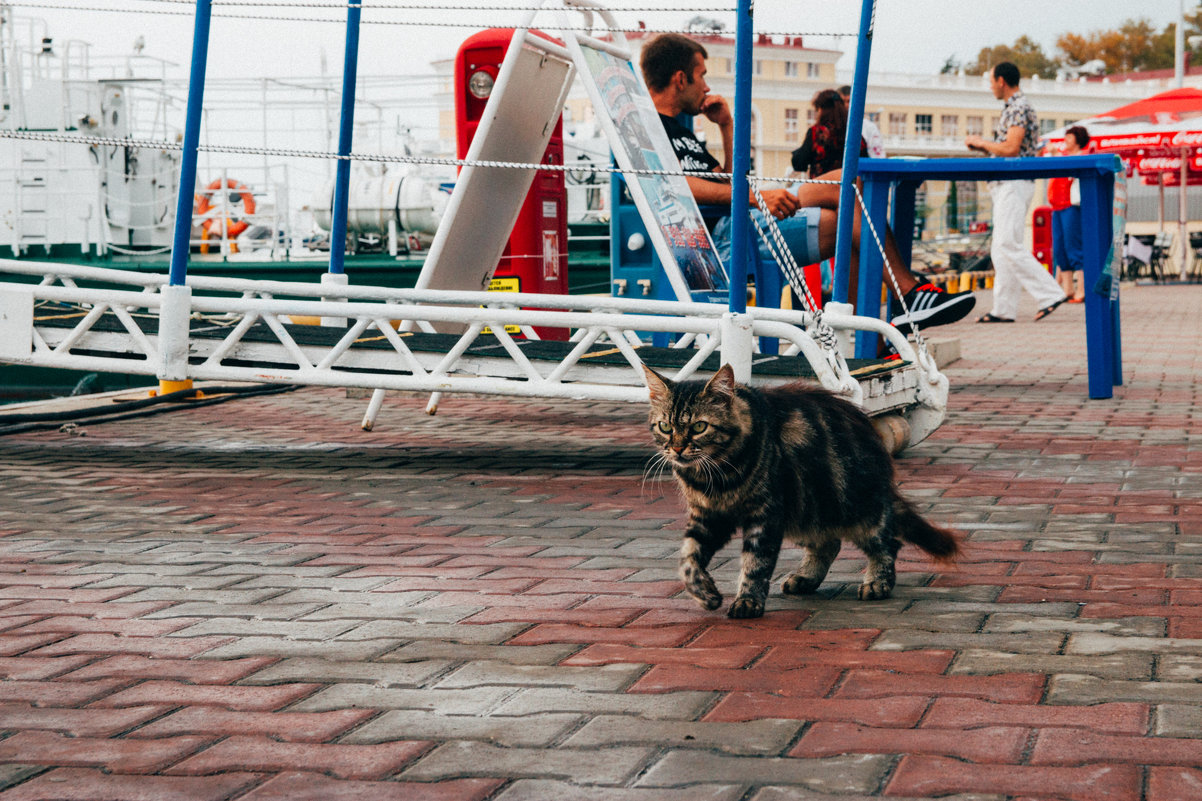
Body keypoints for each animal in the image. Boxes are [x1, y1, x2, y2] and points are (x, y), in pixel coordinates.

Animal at [644, 360, 961, 615]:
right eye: (664, 427)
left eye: (699, 427)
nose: (677, 448)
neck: (715, 474)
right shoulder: (707, 515)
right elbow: (688, 559)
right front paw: (705, 593)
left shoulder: (765, 514)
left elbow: (756, 562)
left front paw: (748, 601)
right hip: (806, 510)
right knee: (829, 544)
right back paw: (806, 578)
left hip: (855, 508)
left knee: (887, 542)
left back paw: (876, 583)